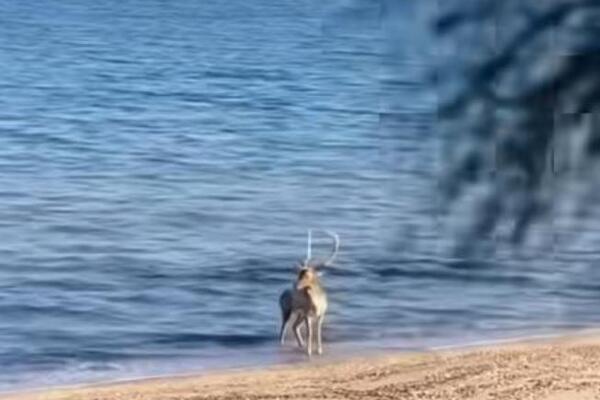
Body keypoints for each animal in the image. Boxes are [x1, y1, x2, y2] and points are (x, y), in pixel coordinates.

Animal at [278, 230, 340, 358]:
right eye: (299, 274)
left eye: (307, 275)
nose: (295, 285)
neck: (316, 304)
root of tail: (280, 296)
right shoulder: (308, 315)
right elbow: (310, 333)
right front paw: (309, 352)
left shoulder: (321, 314)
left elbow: (318, 332)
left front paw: (319, 350)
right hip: (287, 311)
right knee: (284, 328)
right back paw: (283, 344)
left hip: (299, 314)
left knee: (294, 326)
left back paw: (301, 345)